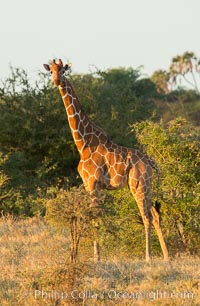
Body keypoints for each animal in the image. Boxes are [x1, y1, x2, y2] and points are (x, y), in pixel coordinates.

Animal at [43, 58, 169, 262]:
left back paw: (148, 257)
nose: (56, 81)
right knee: (156, 215)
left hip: (139, 186)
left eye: (63, 70)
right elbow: (94, 216)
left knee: (146, 217)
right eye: (51, 71)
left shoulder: (92, 183)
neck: (83, 143)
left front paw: (96, 257)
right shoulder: (91, 185)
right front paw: (94, 255)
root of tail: (151, 162)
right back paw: (166, 256)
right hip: (146, 187)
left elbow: (94, 217)